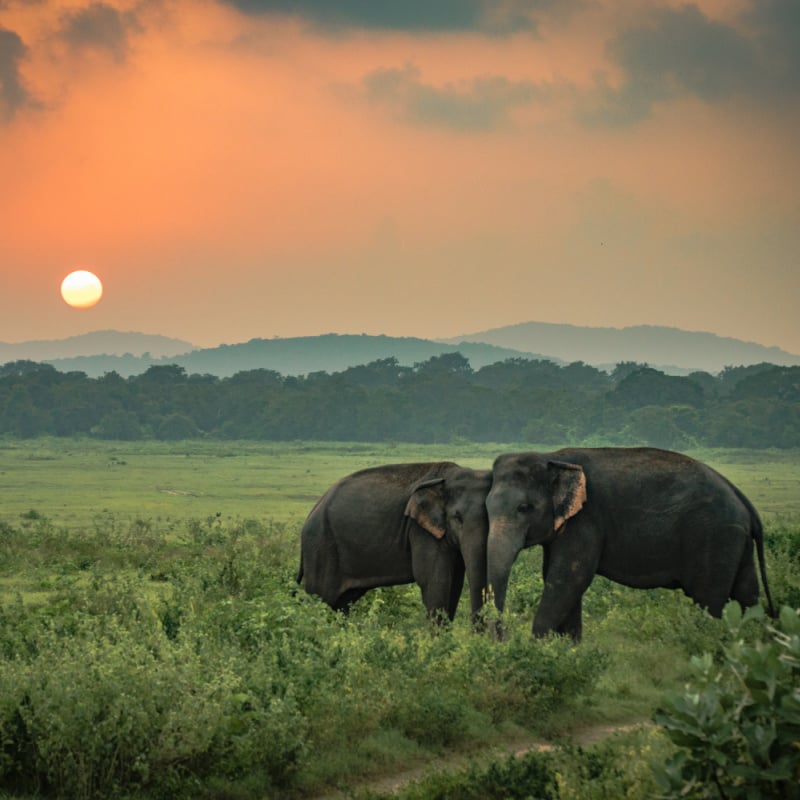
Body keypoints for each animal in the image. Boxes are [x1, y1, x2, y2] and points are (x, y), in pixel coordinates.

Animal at [296, 460, 490, 620]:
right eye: (457, 518)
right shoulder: (420, 531)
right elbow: (435, 581)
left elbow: (455, 583)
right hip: (320, 547)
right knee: (321, 598)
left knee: (341, 603)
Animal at [488, 446, 776, 640]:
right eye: (486, 508)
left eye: (524, 508)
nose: (502, 638)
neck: (552, 457)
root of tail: (743, 499)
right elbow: (559, 578)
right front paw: (567, 649)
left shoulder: (586, 520)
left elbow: (568, 578)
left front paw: (538, 647)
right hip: (734, 540)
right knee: (747, 593)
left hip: (714, 537)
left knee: (708, 599)